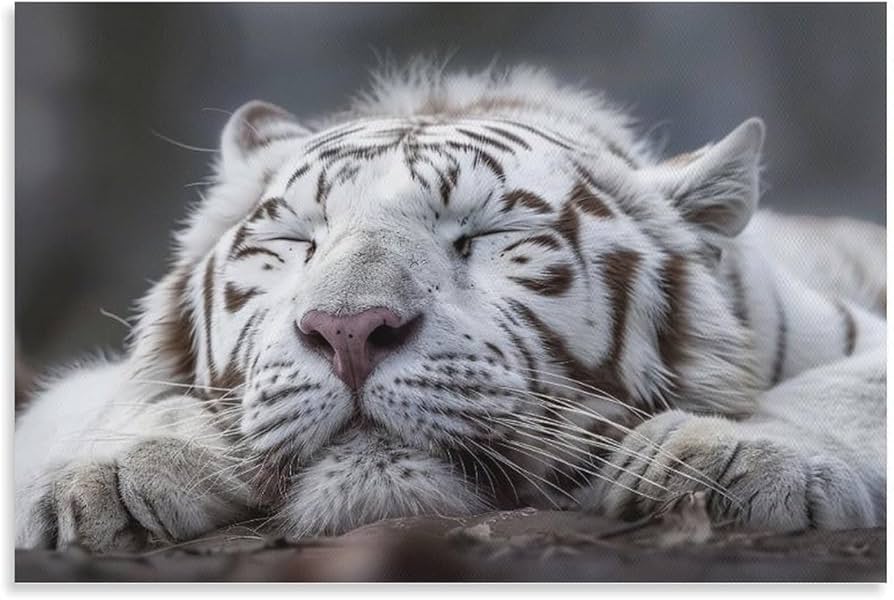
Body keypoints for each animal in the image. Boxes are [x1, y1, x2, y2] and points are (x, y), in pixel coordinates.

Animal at [15, 64, 886, 553]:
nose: (348, 331)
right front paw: (107, 478)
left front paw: (730, 456)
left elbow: (845, 390)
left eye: (487, 236)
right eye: (297, 242)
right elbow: (112, 410)